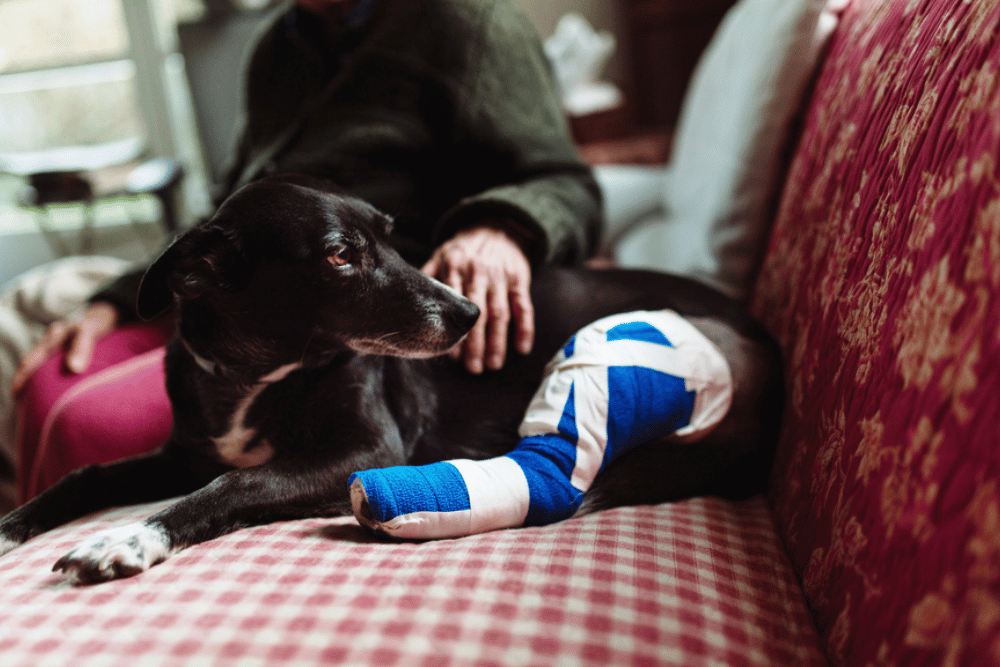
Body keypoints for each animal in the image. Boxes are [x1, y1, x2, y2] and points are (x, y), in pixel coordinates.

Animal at [0, 175, 780, 580]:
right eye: (342, 255)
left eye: (391, 233)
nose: (470, 313)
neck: (258, 375)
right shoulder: (184, 453)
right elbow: (88, 473)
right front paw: (14, 523)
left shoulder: (366, 451)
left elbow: (234, 483)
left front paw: (131, 537)